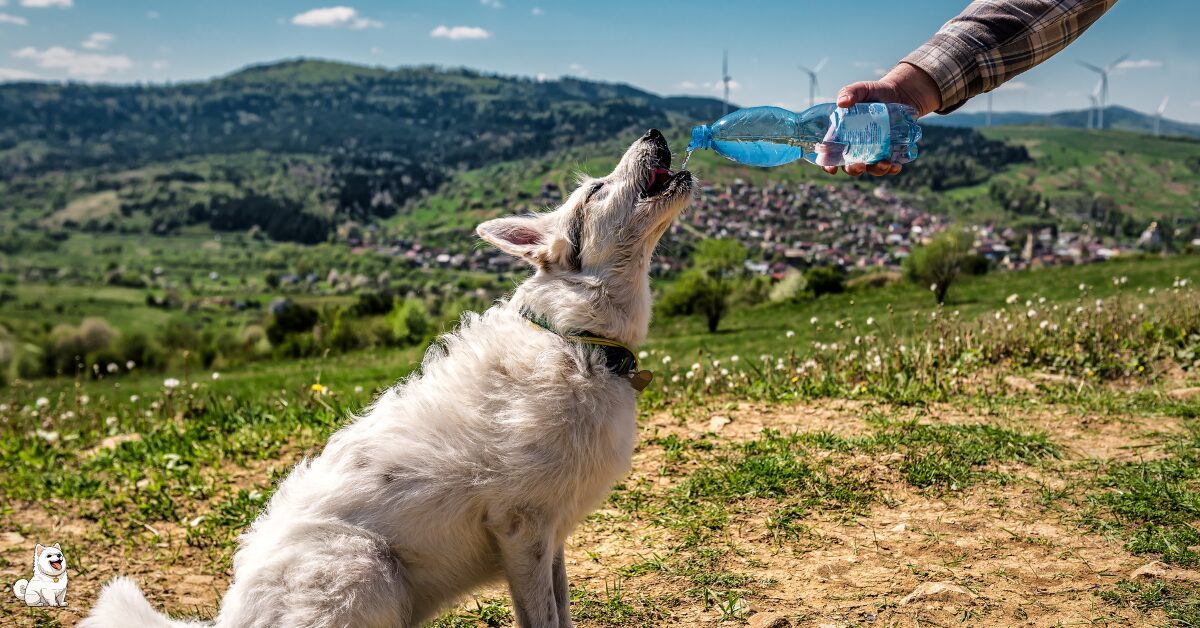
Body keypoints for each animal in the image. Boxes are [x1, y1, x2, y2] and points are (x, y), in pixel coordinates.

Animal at [82, 129, 696, 628]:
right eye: (595, 191)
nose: (654, 131)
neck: (576, 338)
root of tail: (229, 621)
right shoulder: (521, 529)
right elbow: (543, 618)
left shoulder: (553, 538)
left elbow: (561, 611)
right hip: (367, 568)